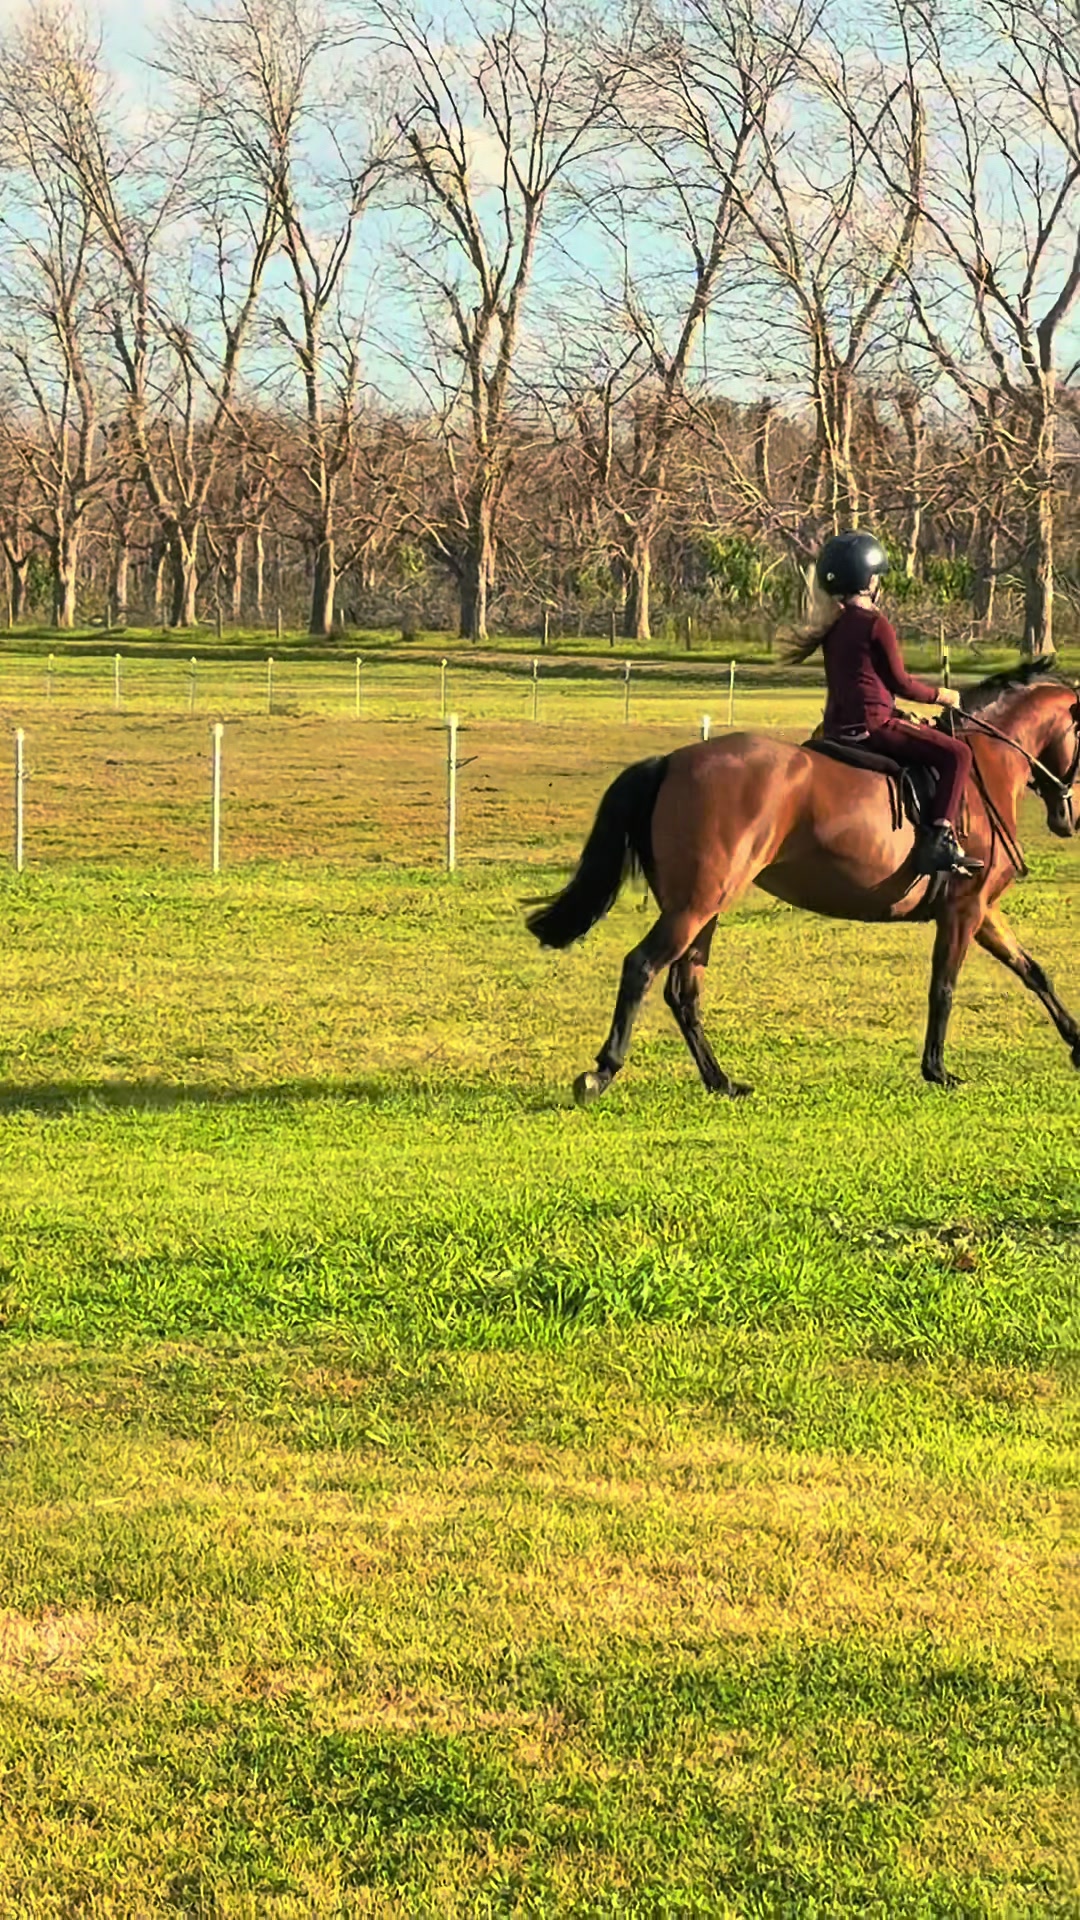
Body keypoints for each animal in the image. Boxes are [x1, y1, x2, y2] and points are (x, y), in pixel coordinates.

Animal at [526, 664, 1080, 1101]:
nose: (1067, 820)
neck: (986, 765)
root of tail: (671, 762)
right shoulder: (962, 910)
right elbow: (943, 987)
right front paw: (938, 1070)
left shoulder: (982, 910)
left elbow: (1034, 972)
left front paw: (1076, 1043)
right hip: (694, 907)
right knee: (641, 967)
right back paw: (602, 1073)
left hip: (699, 909)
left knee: (683, 992)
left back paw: (721, 1081)